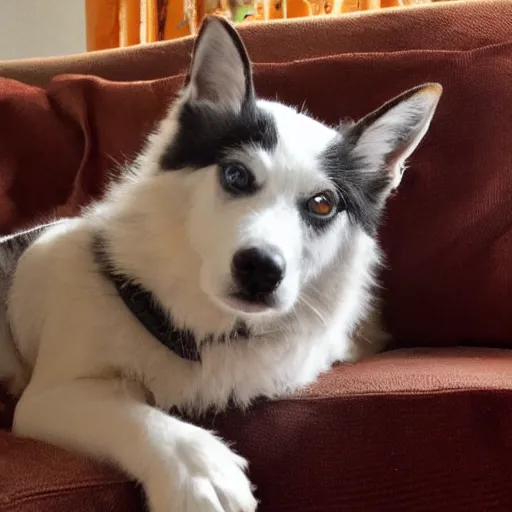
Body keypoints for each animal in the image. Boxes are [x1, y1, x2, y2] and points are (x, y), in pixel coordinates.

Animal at [0, 16, 440, 512]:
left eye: (322, 204)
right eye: (237, 176)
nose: (261, 270)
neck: (197, 328)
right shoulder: (47, 398)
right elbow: (126, 411)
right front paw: (194, 466)